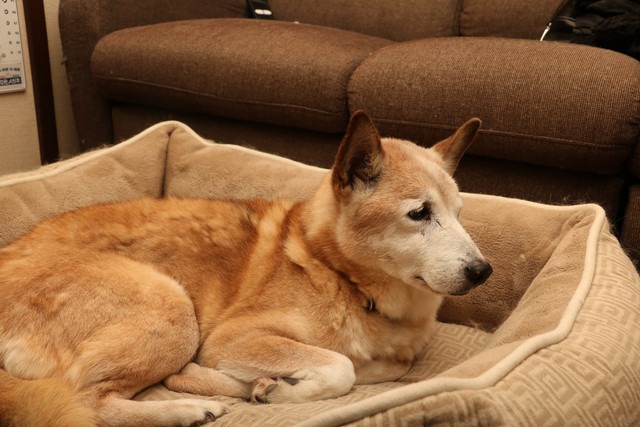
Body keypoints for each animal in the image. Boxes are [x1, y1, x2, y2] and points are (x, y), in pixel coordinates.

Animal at [0, 112, 492, 426]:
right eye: (419, 213)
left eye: (459, 213)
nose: (483, 271)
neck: (346, 280)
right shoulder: (233, 337)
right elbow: (341, 368)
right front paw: (284, 388)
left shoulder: (398, 356)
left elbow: (386, 366)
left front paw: (273, 382)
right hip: (172, 308)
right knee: (89, 402)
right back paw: (185, 410)